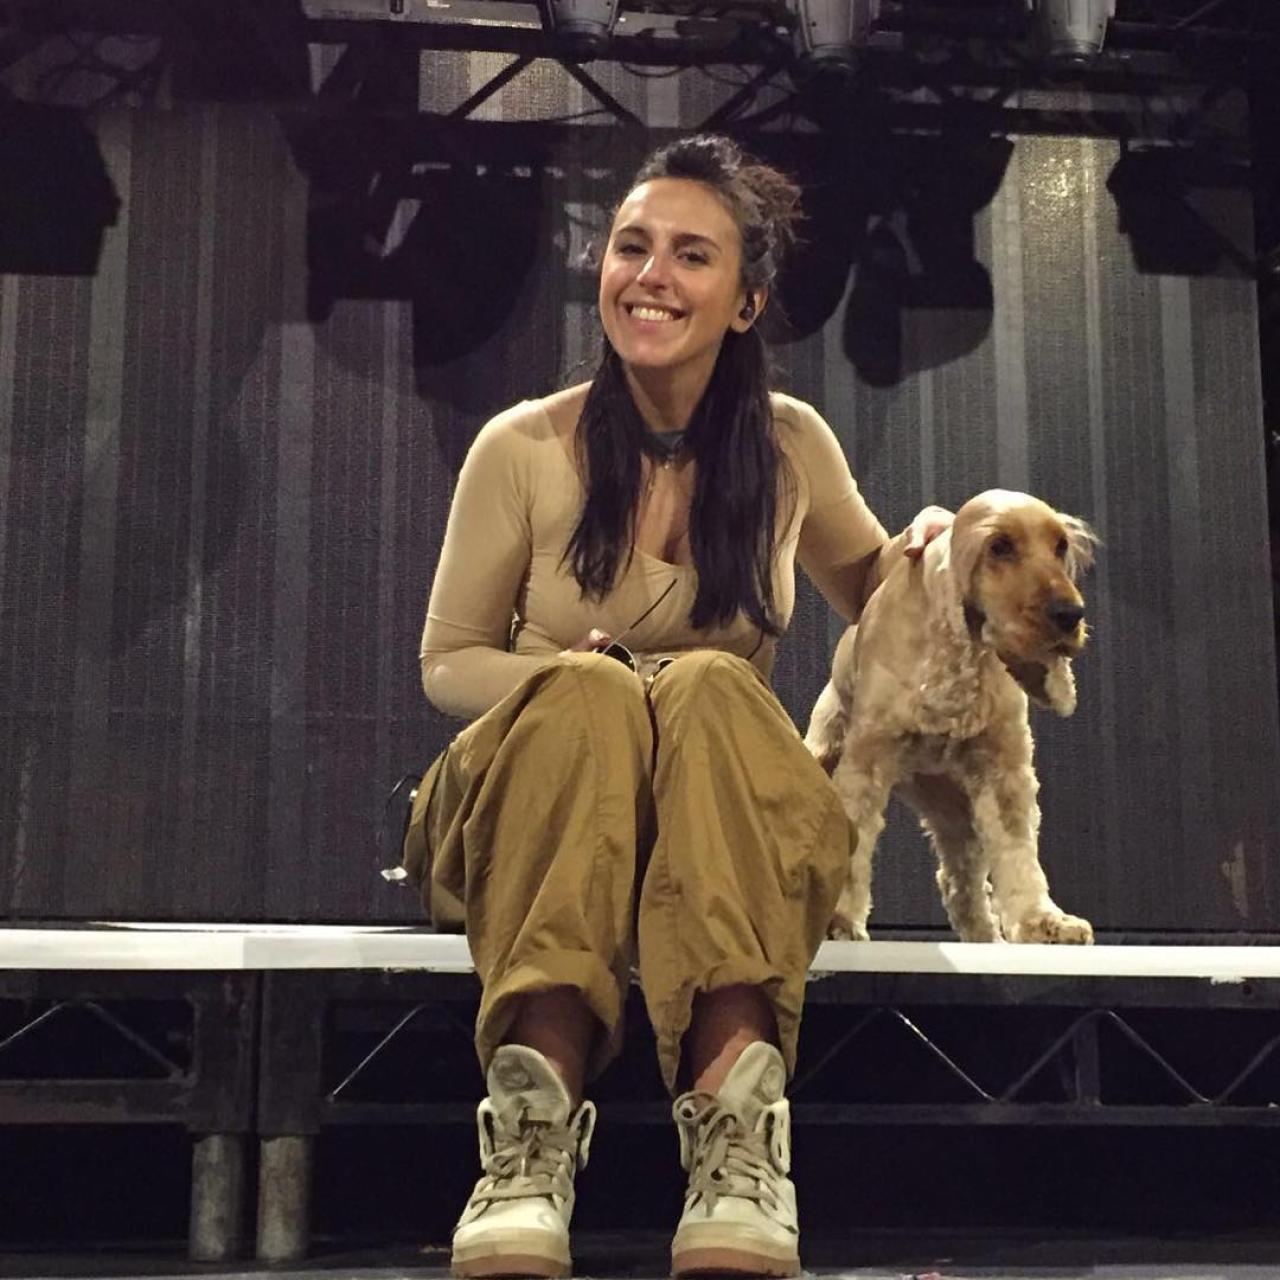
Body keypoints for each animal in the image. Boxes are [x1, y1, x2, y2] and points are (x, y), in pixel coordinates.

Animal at [805, 490, 1097, 944]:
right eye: (1000, 546)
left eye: (1060, 546)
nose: (1070, 614)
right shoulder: (866, 763)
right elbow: (856, 842)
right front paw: (839, 920)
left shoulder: (1005, 771)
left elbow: (1018, 852)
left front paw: (1043, 921)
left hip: (956, 809)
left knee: (962, 882)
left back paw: (986, 938)